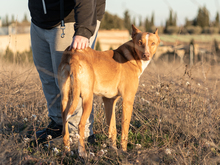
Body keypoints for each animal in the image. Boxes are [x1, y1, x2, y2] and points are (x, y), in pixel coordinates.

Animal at [57, 24, 161, 156]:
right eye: (140, 42)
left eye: (153, 43)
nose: (146, 55)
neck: (131, 56)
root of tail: (74, 53)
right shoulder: (128, 101)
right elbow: (124, 129)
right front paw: (123, 151)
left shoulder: (109, 101)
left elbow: (112, 129)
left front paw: (114, 150)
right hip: (87, 99)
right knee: (80, 125)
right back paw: (83, 153)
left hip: (65, 99)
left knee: (64, 127)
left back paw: (67, 152)